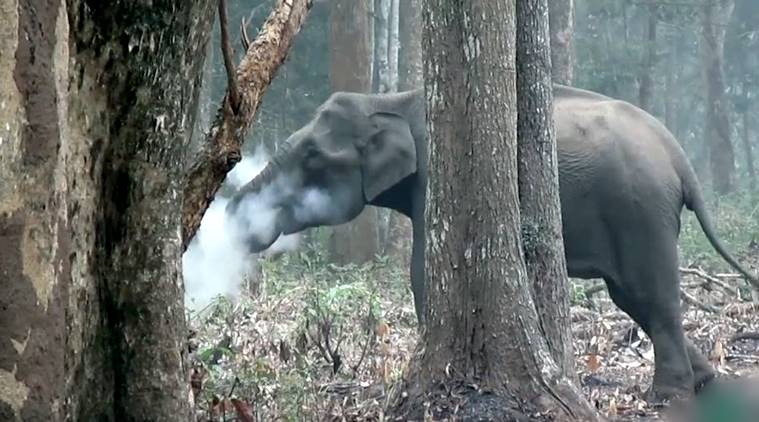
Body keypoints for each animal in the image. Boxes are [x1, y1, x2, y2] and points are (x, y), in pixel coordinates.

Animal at [225, 85, 758, 403]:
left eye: (312, 157)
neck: (393, 98)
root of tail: (678, 156)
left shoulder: (437, 178)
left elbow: (422, 270)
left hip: (639, 209)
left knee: (648, 294)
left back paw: (666, 396)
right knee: (632, 297)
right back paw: (702, 381)